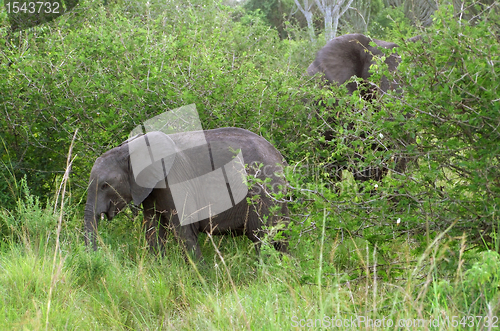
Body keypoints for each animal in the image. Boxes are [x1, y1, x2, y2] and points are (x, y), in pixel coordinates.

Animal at [84, 127, 292, 260]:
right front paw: (157, 268)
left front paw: (202, 278)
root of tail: (280, 159)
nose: (95, 257)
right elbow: (152, 228)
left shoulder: (174, 182)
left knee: (262, 237)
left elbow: (183, 231)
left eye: (105, 185)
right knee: (280, 237)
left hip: (263, 192)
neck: (127, 149)